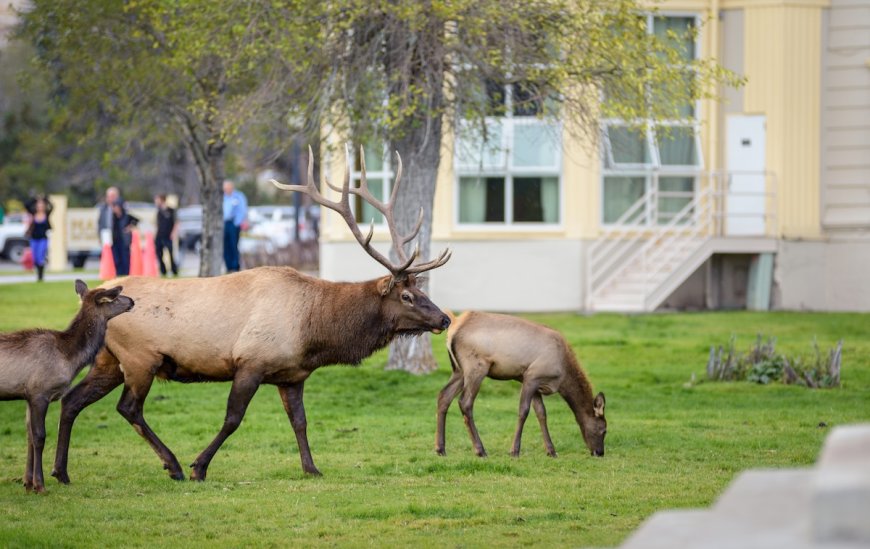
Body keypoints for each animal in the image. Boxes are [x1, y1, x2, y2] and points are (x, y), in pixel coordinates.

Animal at [0, 280, 134, 493]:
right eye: (113, 296)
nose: (132, 301)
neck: (68, 357)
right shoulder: (40, 392)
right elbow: (39, 437)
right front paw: (40, 485)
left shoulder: (28, 395)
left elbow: (29, 437)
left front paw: (27, 483)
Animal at [50, 146, 451, 484]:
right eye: (407, 295)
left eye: (422, 291)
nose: (445, 319)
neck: (314, 333)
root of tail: (93, 295)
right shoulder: (250, 362)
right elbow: (233, 418)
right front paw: (199, 466)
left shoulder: (292, 375)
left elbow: (300, 422)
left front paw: (312, 468)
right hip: (140, 358)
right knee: (128, 408)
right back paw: (173, 465)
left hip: (108, 360)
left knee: (71, 401)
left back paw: (61, 471)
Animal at [435, 311, 607, 459]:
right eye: (603, 429)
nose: (599, 452)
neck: (563, 377)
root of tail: (453, 329)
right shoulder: (531, 376)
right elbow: (523, 411)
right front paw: (514, 451)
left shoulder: (536, 384)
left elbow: (541, 413)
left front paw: (551, 451)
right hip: (476, 366)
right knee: (465, 402)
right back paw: (480, 450)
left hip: (458, 370)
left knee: (444, 396)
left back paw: (440, 448)